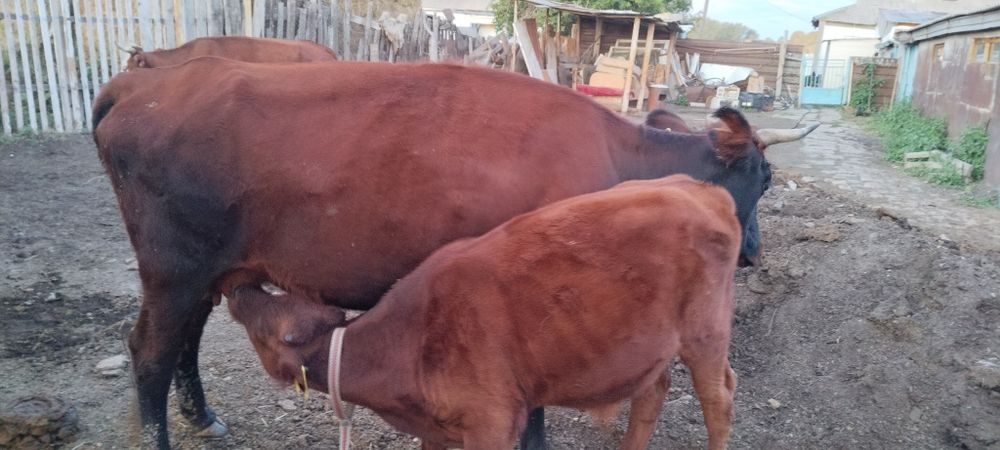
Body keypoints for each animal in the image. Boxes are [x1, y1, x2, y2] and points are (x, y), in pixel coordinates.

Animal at [227, 174, 741, 450]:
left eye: (269, 330)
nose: (238, 288)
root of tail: (698, 186)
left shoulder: (491, 422)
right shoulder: (438, 432)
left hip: (706, 333)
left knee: (718, 401)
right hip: (650, 344)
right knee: (653, 392)